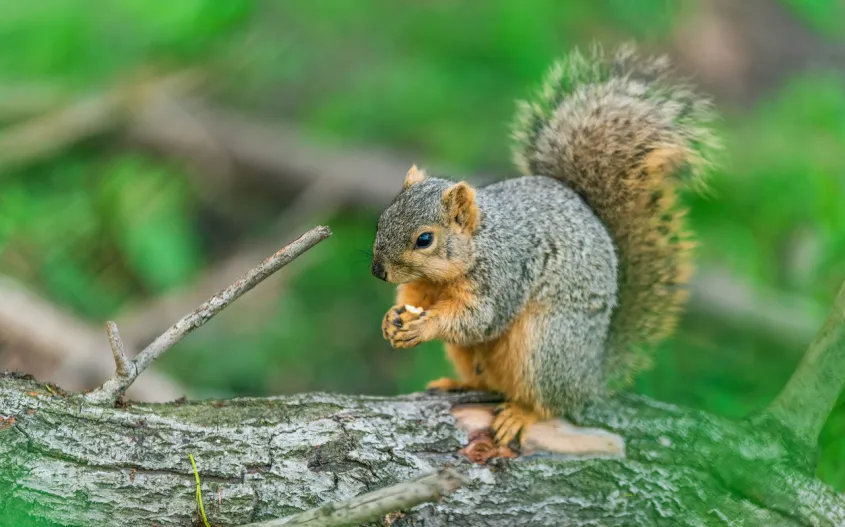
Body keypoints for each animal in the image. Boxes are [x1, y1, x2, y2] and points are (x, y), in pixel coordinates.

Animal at [370, 43, 720, 446]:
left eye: (424, 239)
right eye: (383, 217)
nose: (377, 271)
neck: (476, 245)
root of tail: (590, 376)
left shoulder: (503, 277)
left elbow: (479, 320)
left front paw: (423, 326)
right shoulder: (425, 284)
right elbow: (414, 299)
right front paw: (391, 320)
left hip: (545, 346)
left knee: (548, 403)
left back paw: (521, 414)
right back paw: (456, 384)